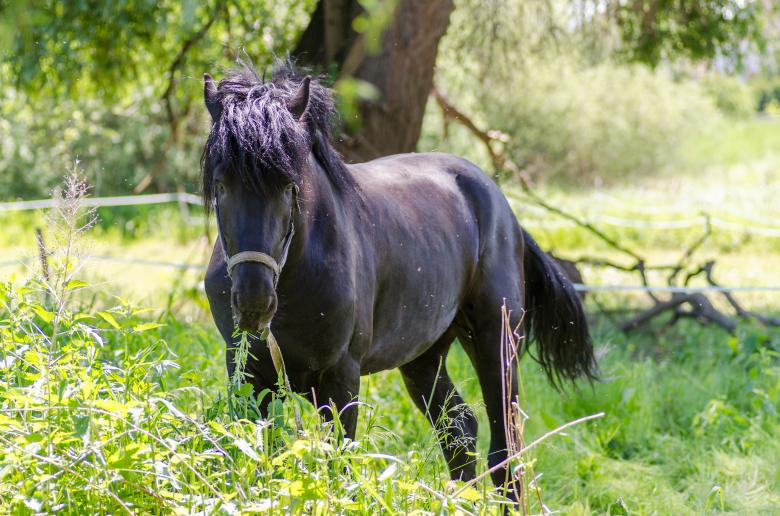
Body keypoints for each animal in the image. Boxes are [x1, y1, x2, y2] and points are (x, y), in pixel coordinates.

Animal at [201, 62, 597, 498]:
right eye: (221, 185)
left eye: (290, 187)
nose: (254, 302)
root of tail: (503, 210)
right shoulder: (249, 373)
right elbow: (259, 458)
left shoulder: (340, 379)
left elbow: (338, 465)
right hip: (425, 356)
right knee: (459, 426)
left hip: (497, 341)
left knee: (504, 450)